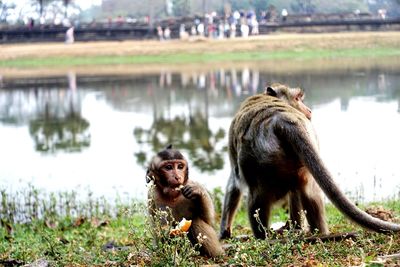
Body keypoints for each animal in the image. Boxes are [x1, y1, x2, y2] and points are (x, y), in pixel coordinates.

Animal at [219, 82, 400, 240]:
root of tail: (283, 119)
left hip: (262, 162)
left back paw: (264, 237)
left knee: (256, 197)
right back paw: (314, 232)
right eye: (298, 98)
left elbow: (234, 184)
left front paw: (224, 232)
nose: (309, 110)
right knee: (307, 191)